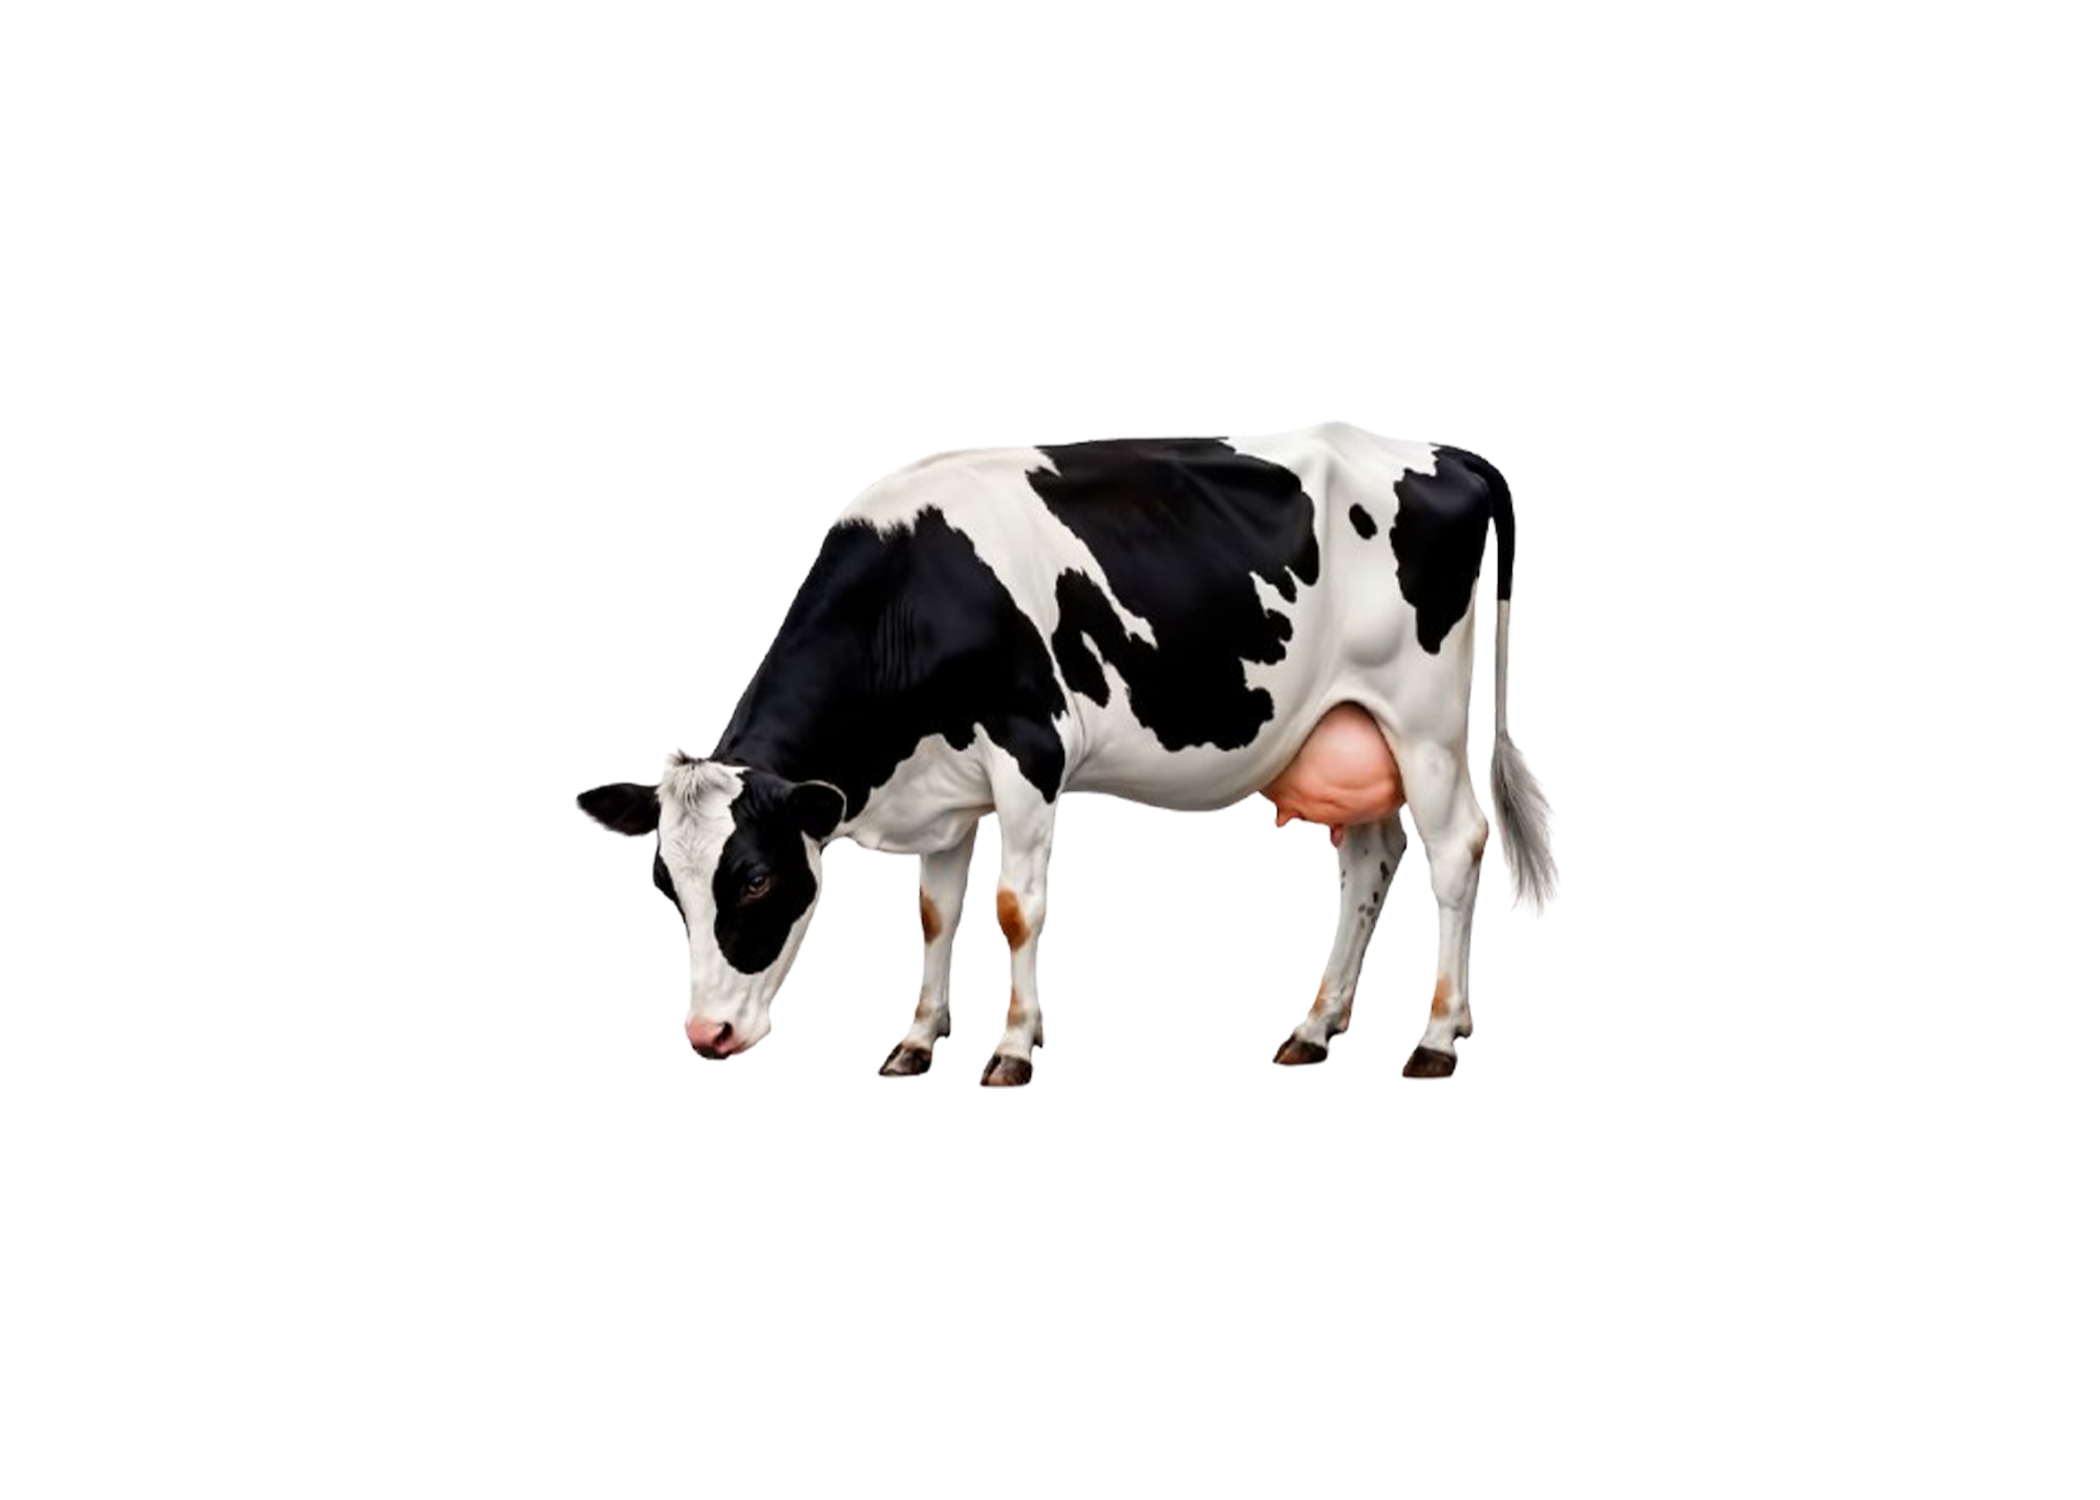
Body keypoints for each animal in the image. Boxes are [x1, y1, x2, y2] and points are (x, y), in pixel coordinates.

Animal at [575, 424, 1560, 1086]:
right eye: (667, 885)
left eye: (753, 880)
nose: (707, 1038)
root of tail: (1441, 453)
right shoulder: (945, 788)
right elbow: (934, 913)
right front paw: (918, 1038)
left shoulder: (1029, 748)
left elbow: (1015, 910)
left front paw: (1013, 1047)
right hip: (1349, 725)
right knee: (1371, 856)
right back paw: (1317, 1027)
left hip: (1423, 720)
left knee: (1456, 849)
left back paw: (1435, 1038)